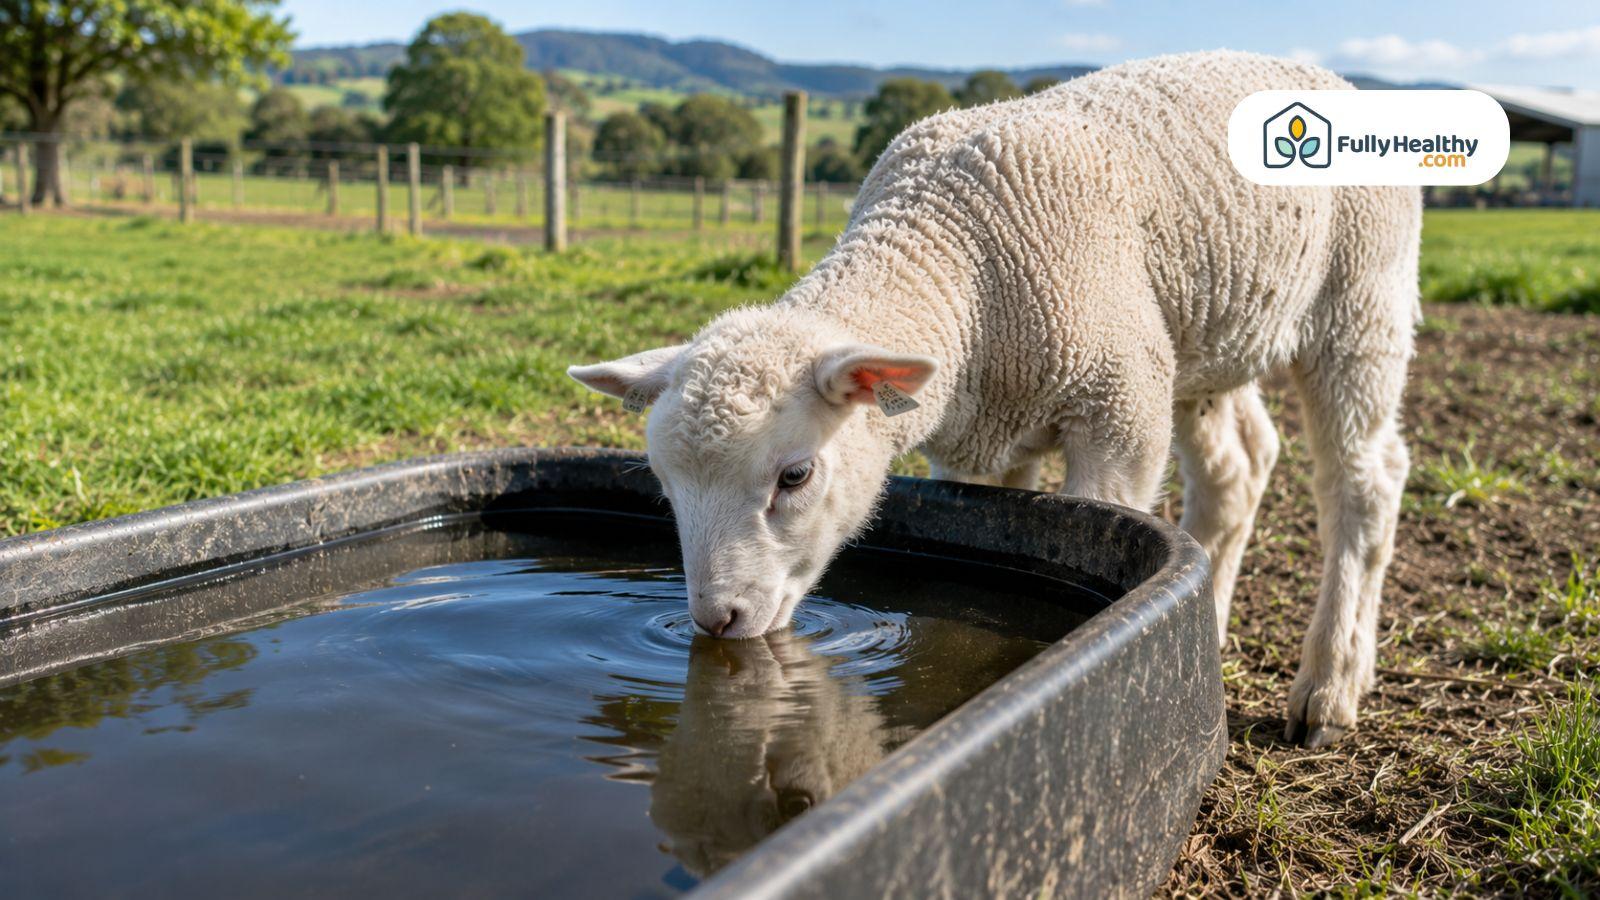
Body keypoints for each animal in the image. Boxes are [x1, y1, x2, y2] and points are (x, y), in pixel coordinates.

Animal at [570, 50, 1421, 748]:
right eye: (665, 487)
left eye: (795, 477)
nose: (717, 620)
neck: (952, 261)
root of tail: (1326, 73)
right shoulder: (977, 445)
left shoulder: (1117, 408)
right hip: (1202, 345)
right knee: (1239, 468)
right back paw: (1208, 628)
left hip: (1360, 301)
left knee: (1367, 479)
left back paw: (1330, 687)